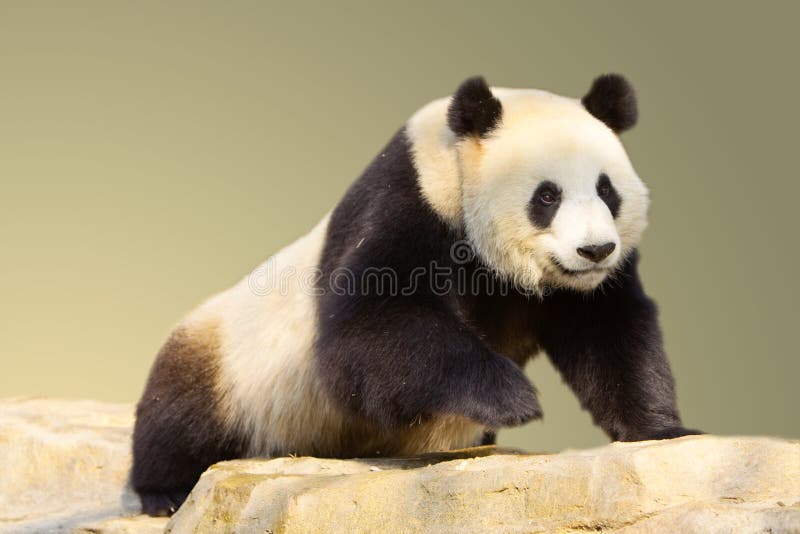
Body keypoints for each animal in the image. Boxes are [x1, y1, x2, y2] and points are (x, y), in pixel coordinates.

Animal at [131, 73, 700, 516]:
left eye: (607, 190)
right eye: (547, 196)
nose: (596, 250)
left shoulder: (582, 291)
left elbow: (610, 330)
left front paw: (661, 429)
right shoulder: (408, 203)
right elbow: (364, 331)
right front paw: (509, 396)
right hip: (234, 363)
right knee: (180, 413)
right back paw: (165, 491)